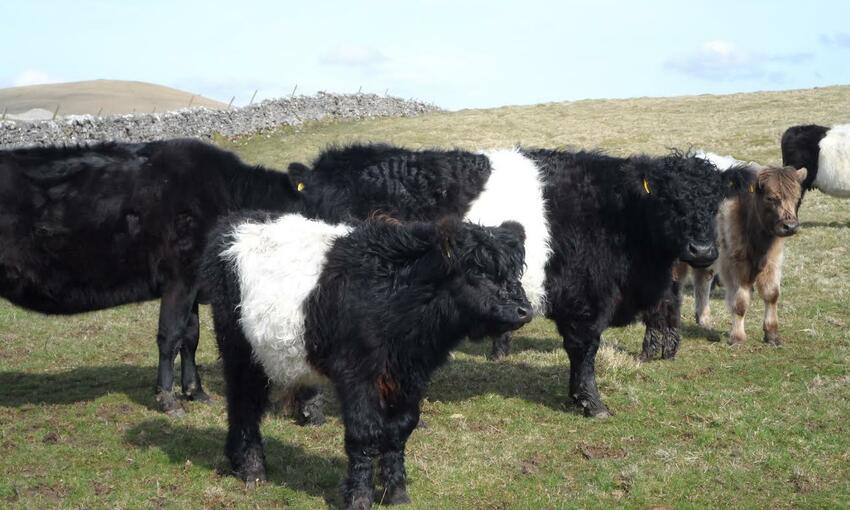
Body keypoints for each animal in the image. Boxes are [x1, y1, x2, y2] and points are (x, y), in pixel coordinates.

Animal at [0, 139, 303, 415]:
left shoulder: (193, 285)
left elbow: (191, 337)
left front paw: (195, 392)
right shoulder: (179, 278)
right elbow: (170, 335)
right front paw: (168, 399)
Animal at [201, 213, 531, 509]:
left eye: (515, 273)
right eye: (478, 272)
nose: (524, 310)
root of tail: (233, 225)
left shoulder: (410, 377)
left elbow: (399, 432)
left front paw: (396, 494)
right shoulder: (357, 374)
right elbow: (364, 434)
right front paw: (359, 497)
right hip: (240, 349)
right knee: (244, 404)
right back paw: (252, 470)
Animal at [288, 144, 750, 417]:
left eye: (714, 201)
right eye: (669, 201)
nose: (701, 251)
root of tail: (330, 165)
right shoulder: (584, 299)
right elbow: (584, 352)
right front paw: (591, 403)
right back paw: (311, 412)